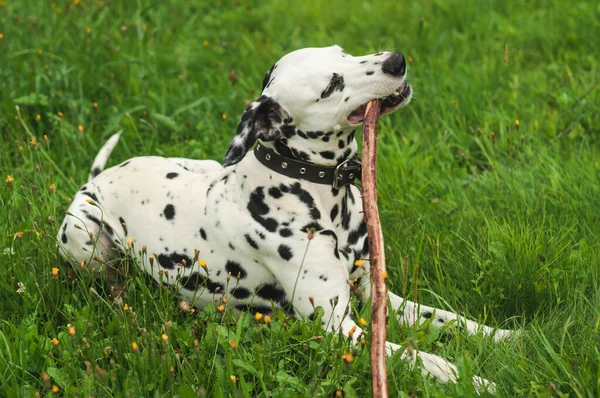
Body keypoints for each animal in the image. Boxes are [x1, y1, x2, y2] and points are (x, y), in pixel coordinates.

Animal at [58, 45, 510, 392]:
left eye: (343, 52)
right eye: (331, 86)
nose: (395, 60)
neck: (315, 193)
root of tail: (97, 179)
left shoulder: (378, 296)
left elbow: (455, 320)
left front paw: (507, 336)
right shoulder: (340, 327)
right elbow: (418, 357)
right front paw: (474, 379)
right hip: (82, 234)